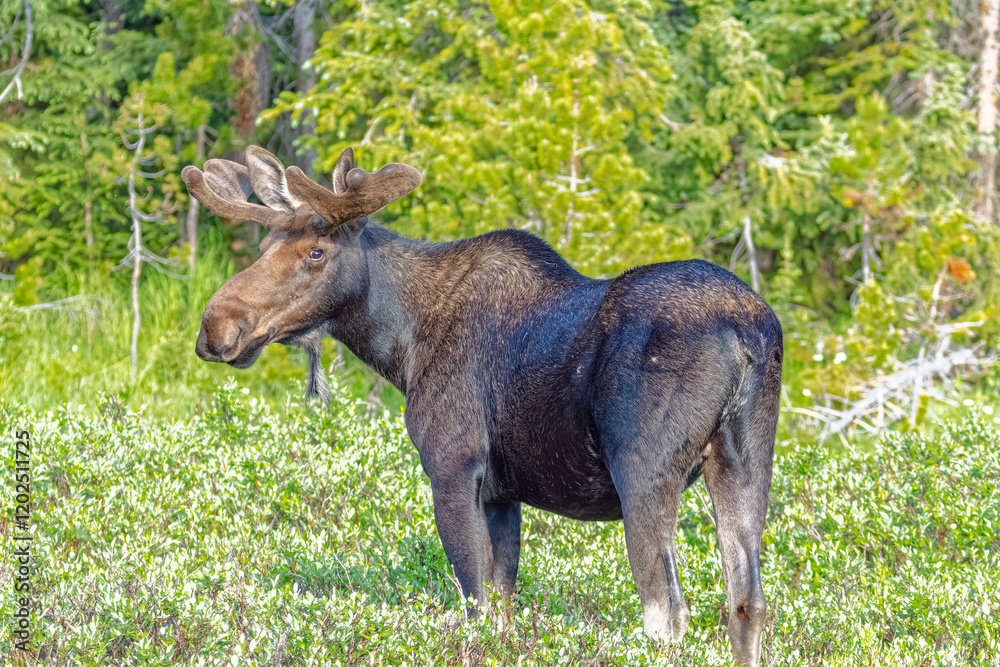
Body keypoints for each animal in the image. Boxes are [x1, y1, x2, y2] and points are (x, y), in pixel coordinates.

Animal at [182, 145, 783, 666]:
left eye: (316, 251)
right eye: (264, 248)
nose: (217, 326)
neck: (401, 344)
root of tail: (747, 332)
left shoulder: (453, 466)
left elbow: (475, 607)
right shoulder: (502, 493)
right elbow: (503, 611)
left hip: (644, 469)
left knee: (667, 613)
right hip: (745, 462)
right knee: (747, 602)